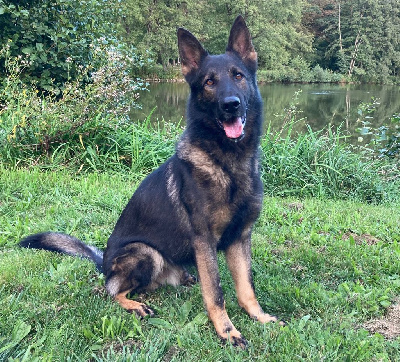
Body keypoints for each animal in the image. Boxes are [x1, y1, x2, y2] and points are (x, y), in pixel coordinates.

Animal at [18, 14, 282, 348]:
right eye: (209, 82)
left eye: (238, 76)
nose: (231, 104)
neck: (228, 163)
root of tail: (103, 261)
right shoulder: (205, 241)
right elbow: (216, 292)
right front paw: (227, 331)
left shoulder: (240, 237)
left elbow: (246, 287)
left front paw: (259, 317)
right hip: (145, 253)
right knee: (111, 290)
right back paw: (134, 304)